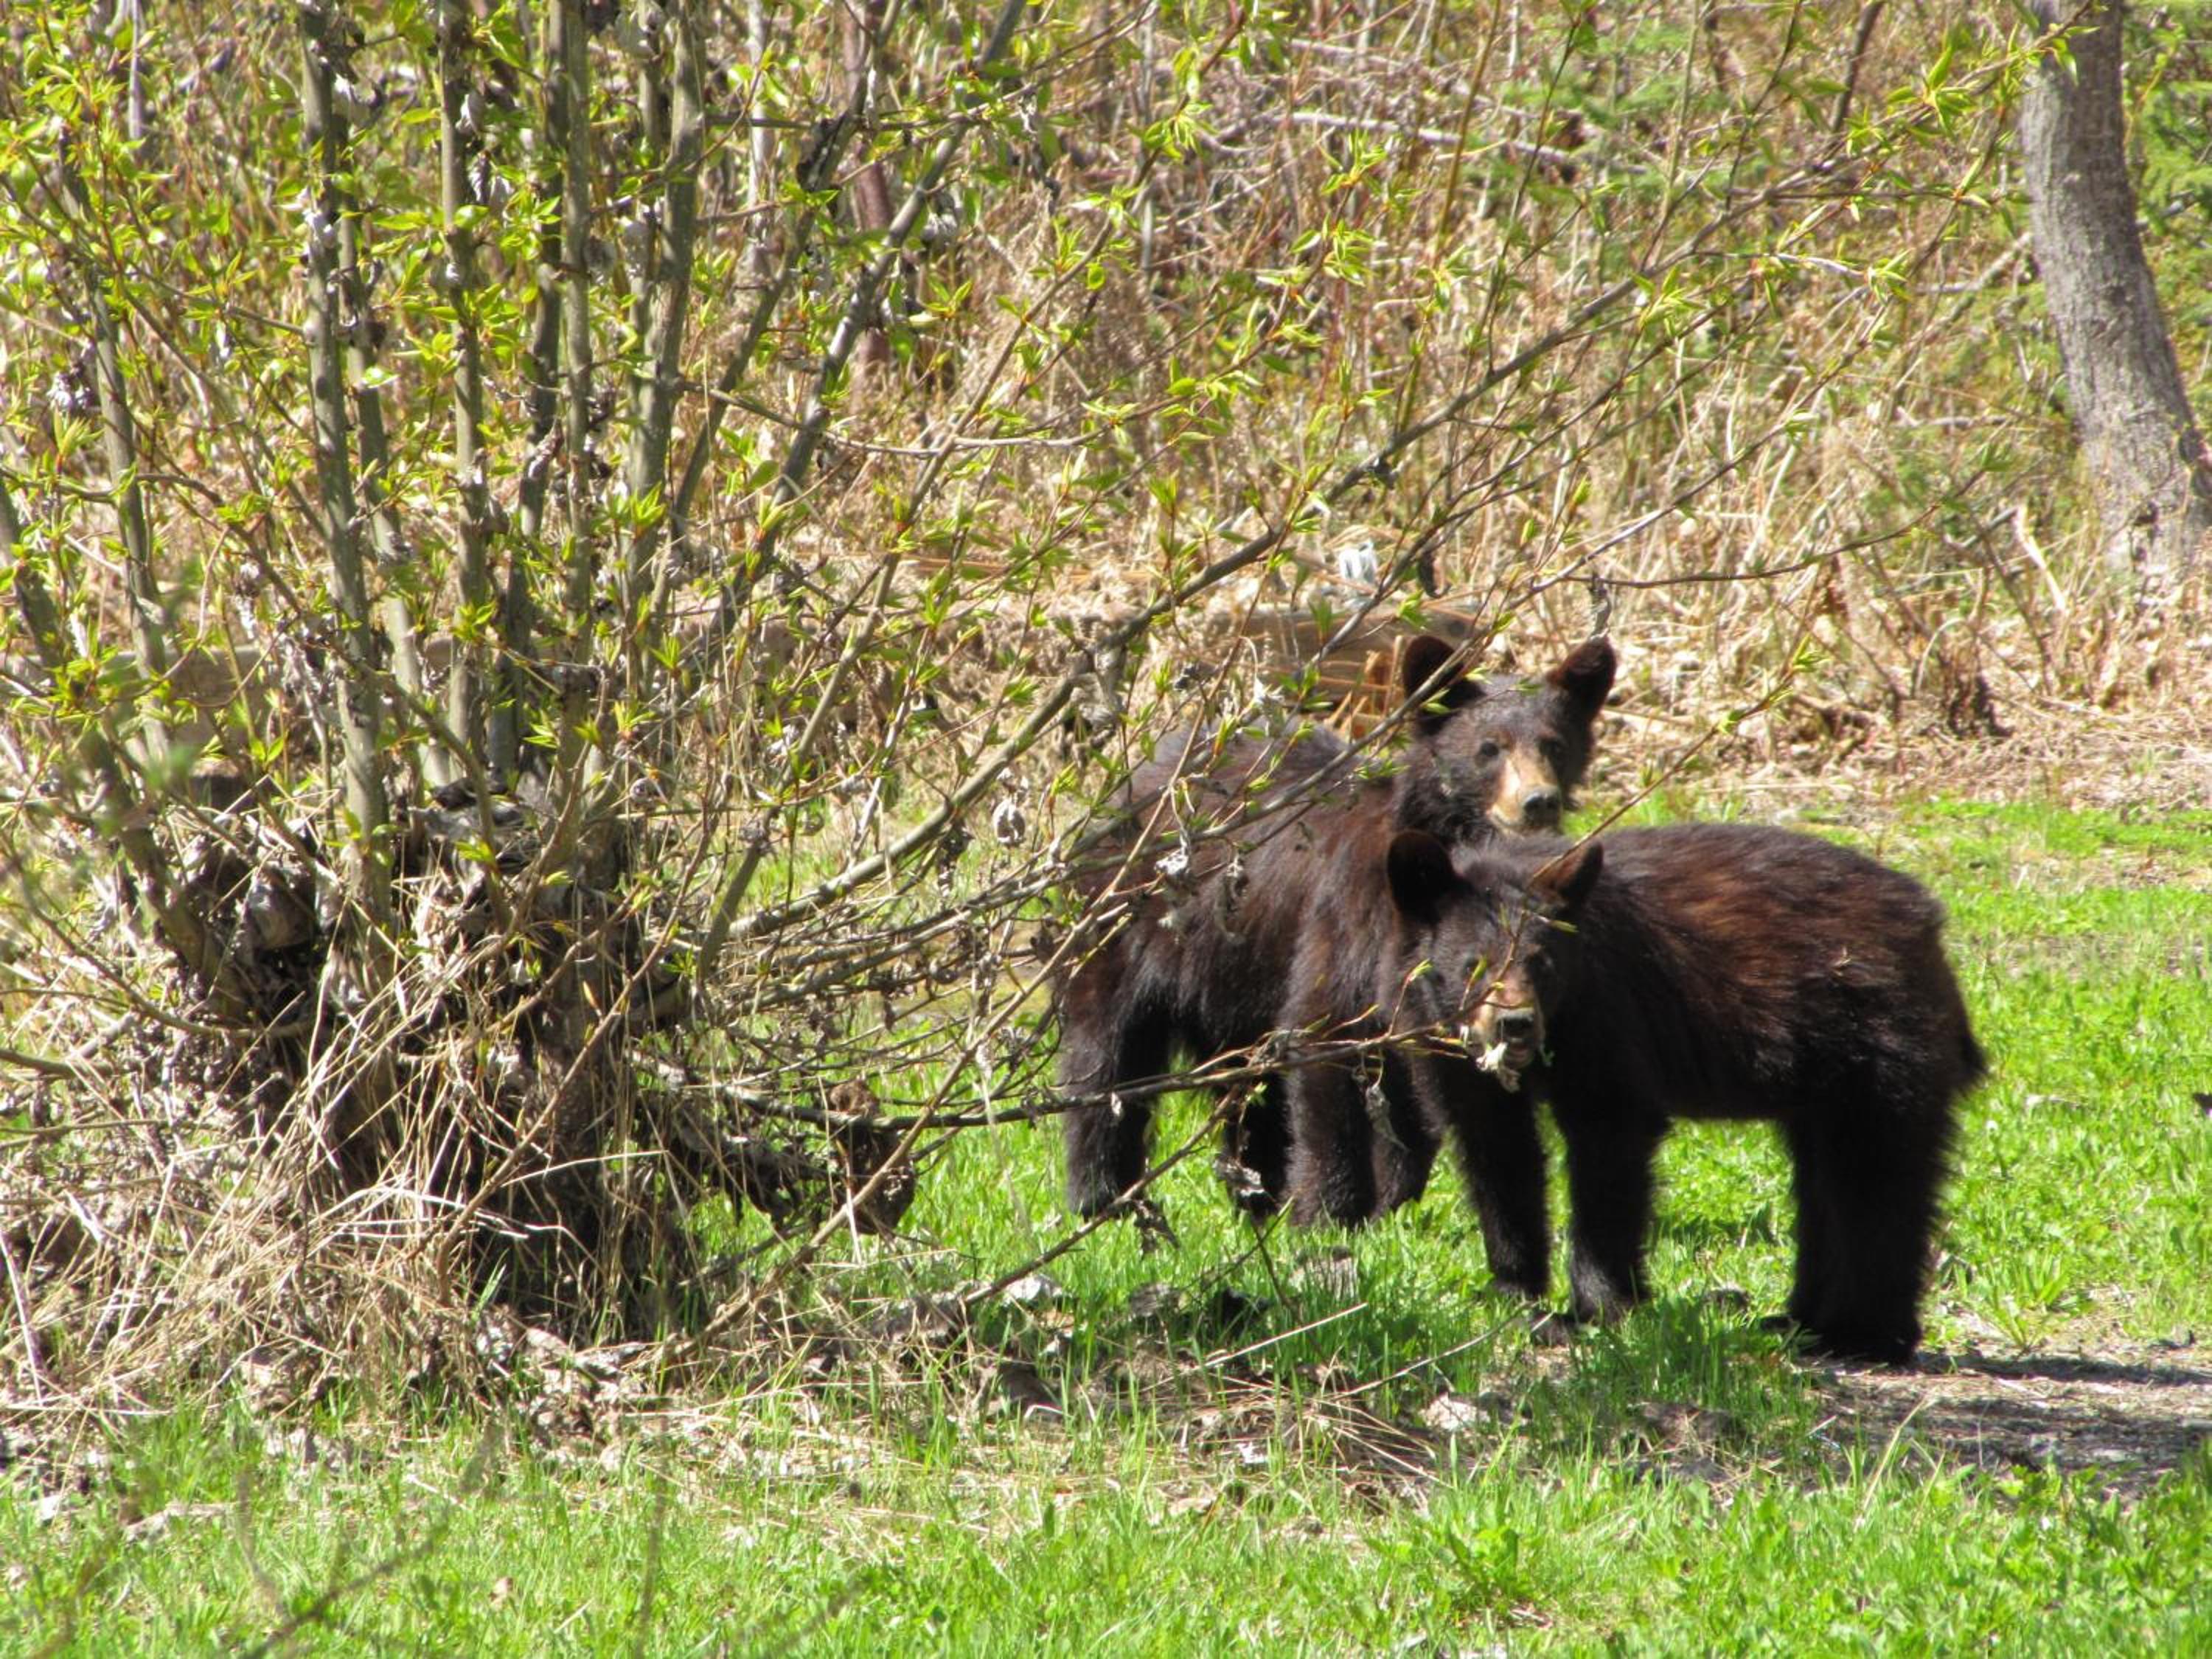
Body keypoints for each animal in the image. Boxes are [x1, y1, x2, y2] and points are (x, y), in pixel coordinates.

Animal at [1057, 633, 1616, 1223]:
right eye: (1490, 748)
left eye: (1555, 745)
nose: (1538, 802)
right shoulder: (1346, 922)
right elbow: (1325, 1046)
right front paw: (1328, 1210)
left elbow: (1407, 1100)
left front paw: (1388, 1204)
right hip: (1126, 925)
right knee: (1108, 1053)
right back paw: (1103, 1196)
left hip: (1236, 976)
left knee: (1250, 1086)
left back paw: (1256, 1196)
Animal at [1330, 823, 1986, 1363]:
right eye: (1474, 964)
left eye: (1542, 963)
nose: (1516, 1025)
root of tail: (1930, 927)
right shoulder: (1447, 1051)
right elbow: (1498, 1155)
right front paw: (1514, 1294)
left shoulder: (1602, 1010)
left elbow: (1609, 1137)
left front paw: (1597, 1309)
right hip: (1825, 1079)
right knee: (1822, 1182)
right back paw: (1799, 1322)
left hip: (1880, 1043)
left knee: (1875, 1179)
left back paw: (1863, 1338)